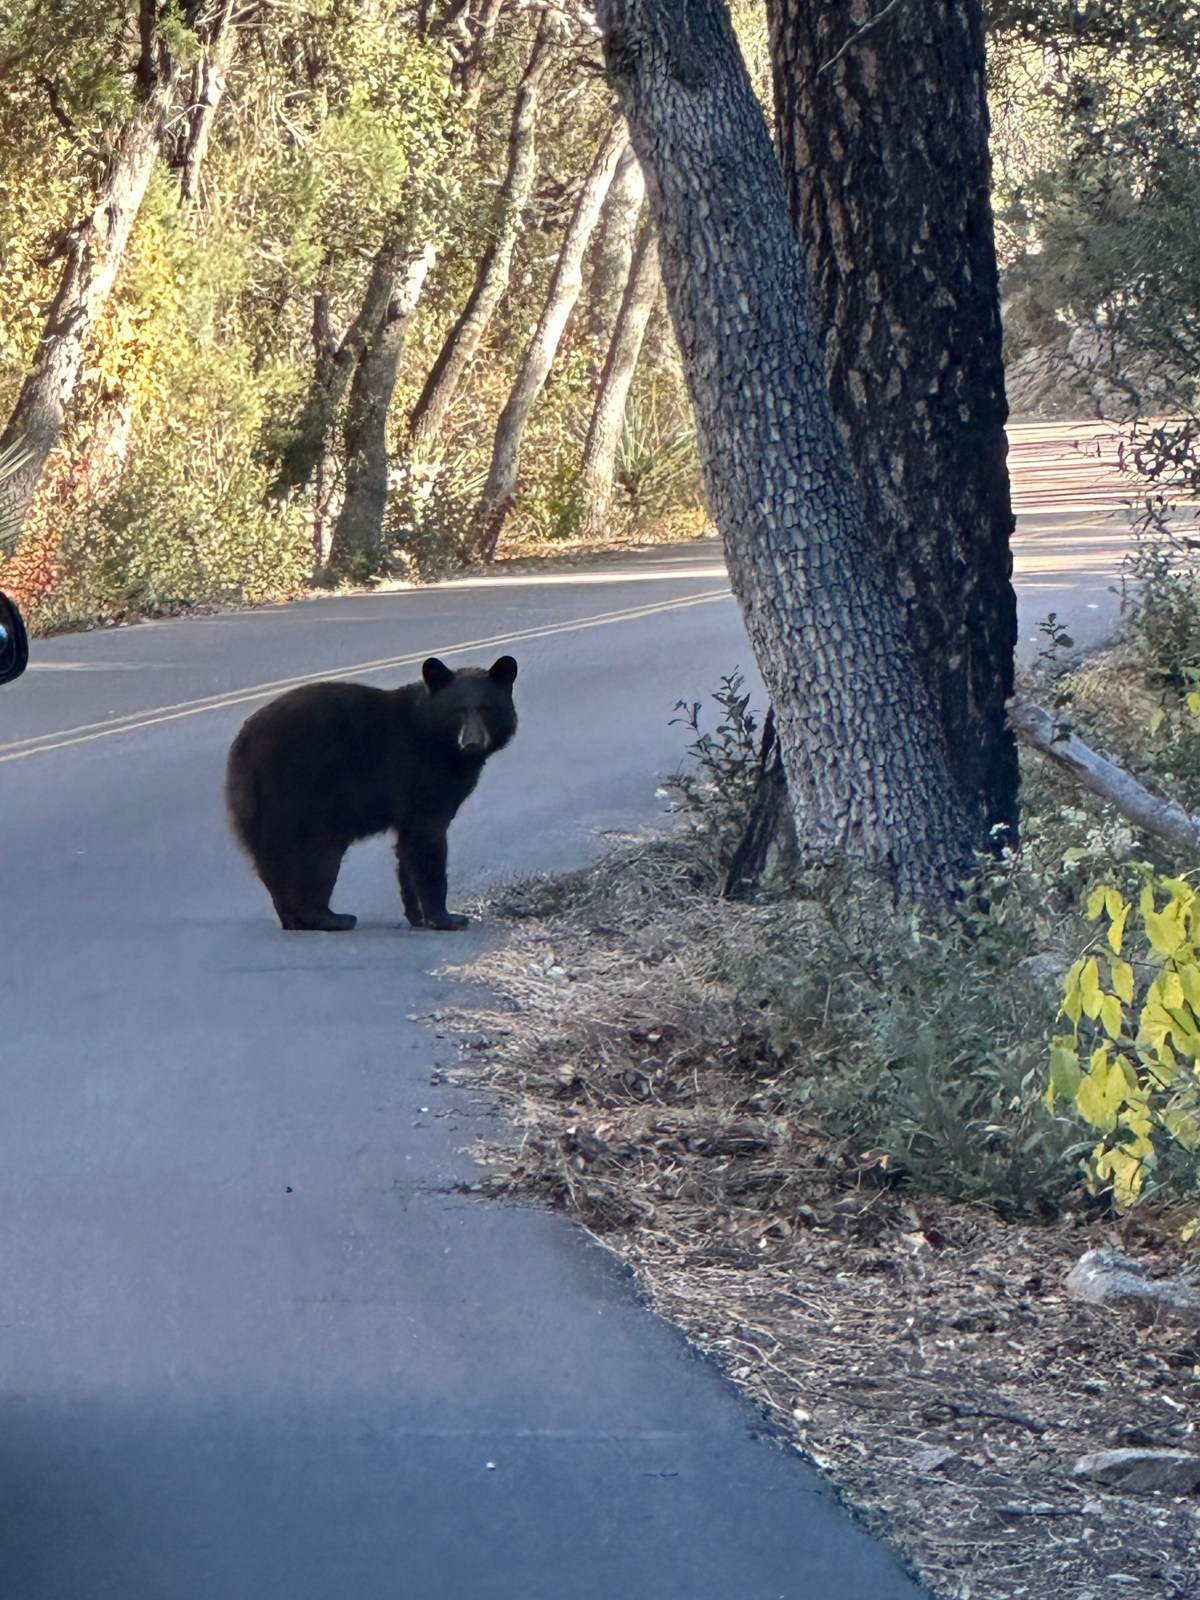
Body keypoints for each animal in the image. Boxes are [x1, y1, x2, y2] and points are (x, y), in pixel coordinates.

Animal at [225, 655, 517, 932]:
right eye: (457, 710)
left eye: (486, 708)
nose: (472, 742)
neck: (434, 739)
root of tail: (244, 743)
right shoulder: (422, 779)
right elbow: (428, 842)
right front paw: (446, 918)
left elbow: (407, 850)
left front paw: (418, 916)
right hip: (302, 793)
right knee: (315, 856)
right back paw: (329, 918)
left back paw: (295, 918)